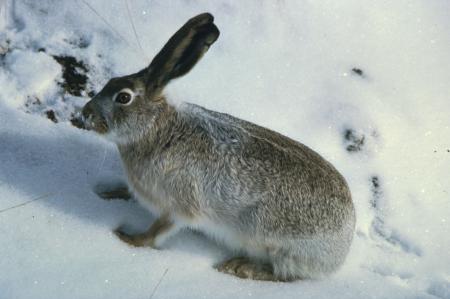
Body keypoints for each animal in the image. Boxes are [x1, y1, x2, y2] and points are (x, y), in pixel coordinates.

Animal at [81, 12, 356, 282]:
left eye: (123, 97)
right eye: (111, 81)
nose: (86, 114)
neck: (157, 129)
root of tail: (345, 244)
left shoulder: (180, 205)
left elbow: (158, 231)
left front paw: (129, 239)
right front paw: (109, 192)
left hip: (278, 246)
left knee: (283, 275)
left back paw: (238, 268)